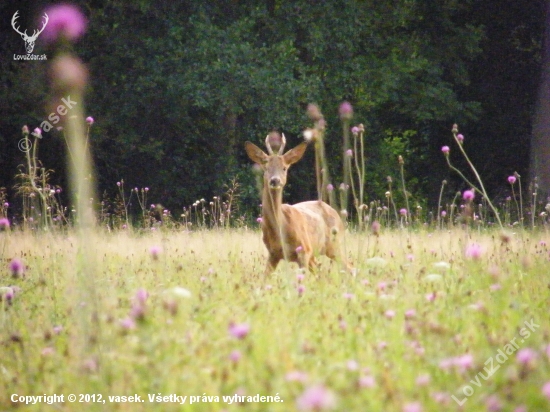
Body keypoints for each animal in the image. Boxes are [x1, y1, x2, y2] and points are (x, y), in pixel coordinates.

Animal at [247, 135, 354, 276]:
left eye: (284, 168)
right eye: (266, 167)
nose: (275, 180)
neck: (280, 228)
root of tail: (335, 212)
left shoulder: (304, 250)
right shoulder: (273, 254)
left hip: (334, 244)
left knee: (350, 266)